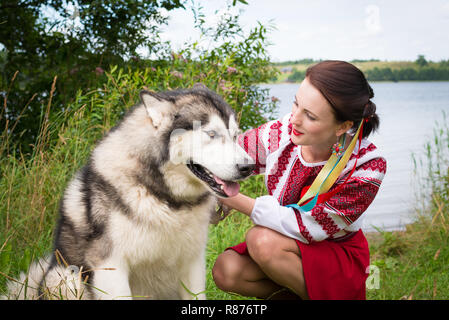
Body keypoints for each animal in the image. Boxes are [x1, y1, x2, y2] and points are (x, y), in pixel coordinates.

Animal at [5, 84, 254, 300]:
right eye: (211, 134)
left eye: (235, 135)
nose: (248, 167)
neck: (165, 199)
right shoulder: (111, 266)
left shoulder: (192, 263)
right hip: (66, 278)